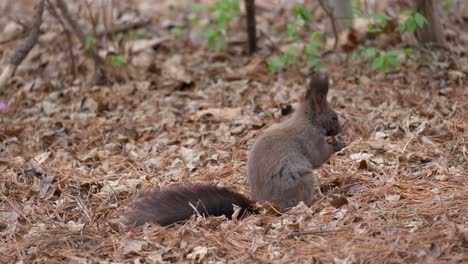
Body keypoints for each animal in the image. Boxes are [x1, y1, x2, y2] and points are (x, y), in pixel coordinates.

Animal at [126, 75, 346, 227]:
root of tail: (261, 206)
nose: (341, 128)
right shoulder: (309, 139)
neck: (309, 120)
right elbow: (318, 156)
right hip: (301, 181)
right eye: (334, 116)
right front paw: (339, 144)